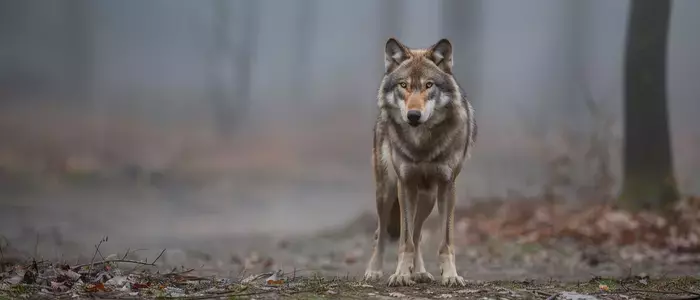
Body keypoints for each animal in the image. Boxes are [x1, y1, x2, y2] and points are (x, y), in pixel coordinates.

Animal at [366, 37, 476, 286]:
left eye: (428, 85)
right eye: (403, 85)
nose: (413, 115)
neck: (423, 145)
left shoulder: (447, 187)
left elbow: (445, 242)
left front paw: (451, 275)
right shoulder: (405, 184)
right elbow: (404, 240)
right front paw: (400, 274)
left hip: (428, 198)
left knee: (417, 233)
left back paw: (420, 272)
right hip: (386, 192)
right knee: (382, 232)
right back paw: (375, 270)